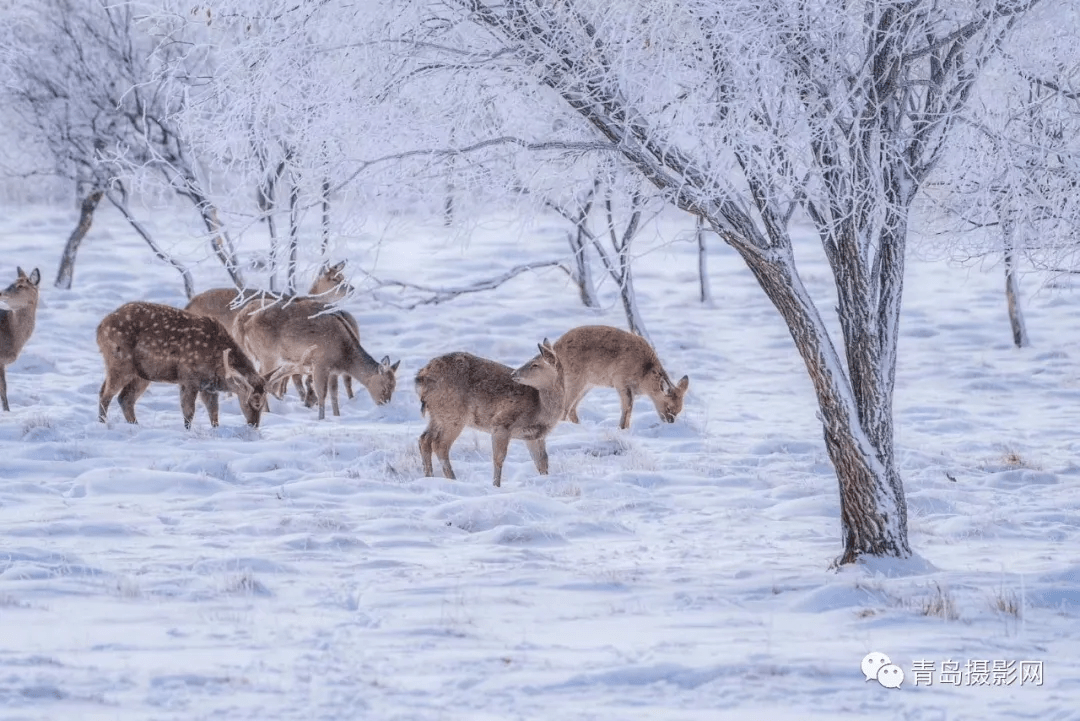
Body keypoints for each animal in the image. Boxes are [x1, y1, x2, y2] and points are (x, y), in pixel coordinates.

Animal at [94, 300, 291, 425]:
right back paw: (103, 424)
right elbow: (189, 412)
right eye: (250, 402)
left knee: (125, 398)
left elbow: (214, 413)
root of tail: (99, 327)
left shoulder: (208, 386)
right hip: (119, 362)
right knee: (105, 394)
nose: (254, 425)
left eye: (264, 401)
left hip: (142, 374)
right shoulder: (188, 378)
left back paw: (135, 425)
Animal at [235, 297, 401, 418]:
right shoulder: (320, 363)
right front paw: (321, 418)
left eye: (394, 387)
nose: (384, 404)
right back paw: (267, 411)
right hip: (268, 354)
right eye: (385, 387)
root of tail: (243, 323)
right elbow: (322, 393)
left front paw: (337, 416)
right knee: (262, 378)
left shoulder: (334, 371)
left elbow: (334, 394)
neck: (343, 355)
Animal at [412, 338, 565, 487]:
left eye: (535, 365)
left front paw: (545, 480)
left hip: (438, 414)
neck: (540, 409)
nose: (514, 374)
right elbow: (499, 458)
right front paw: (496, 486)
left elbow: (542, 461)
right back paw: (452, 479)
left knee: (424, 439)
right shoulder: (501, 423)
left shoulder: (534, 436)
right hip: (452, 413)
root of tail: (421, 377)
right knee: (439, 445)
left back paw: (430, 477)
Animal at [552, 325, 686, 427]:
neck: (644, 373)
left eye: (679, 410)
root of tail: (554, 348)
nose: (670, 422)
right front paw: (622, 428)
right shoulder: (621, 381)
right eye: (668, 407)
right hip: (573, 380)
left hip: (587, 385)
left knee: (572, 409)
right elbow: (627, 407)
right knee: (564, 408)